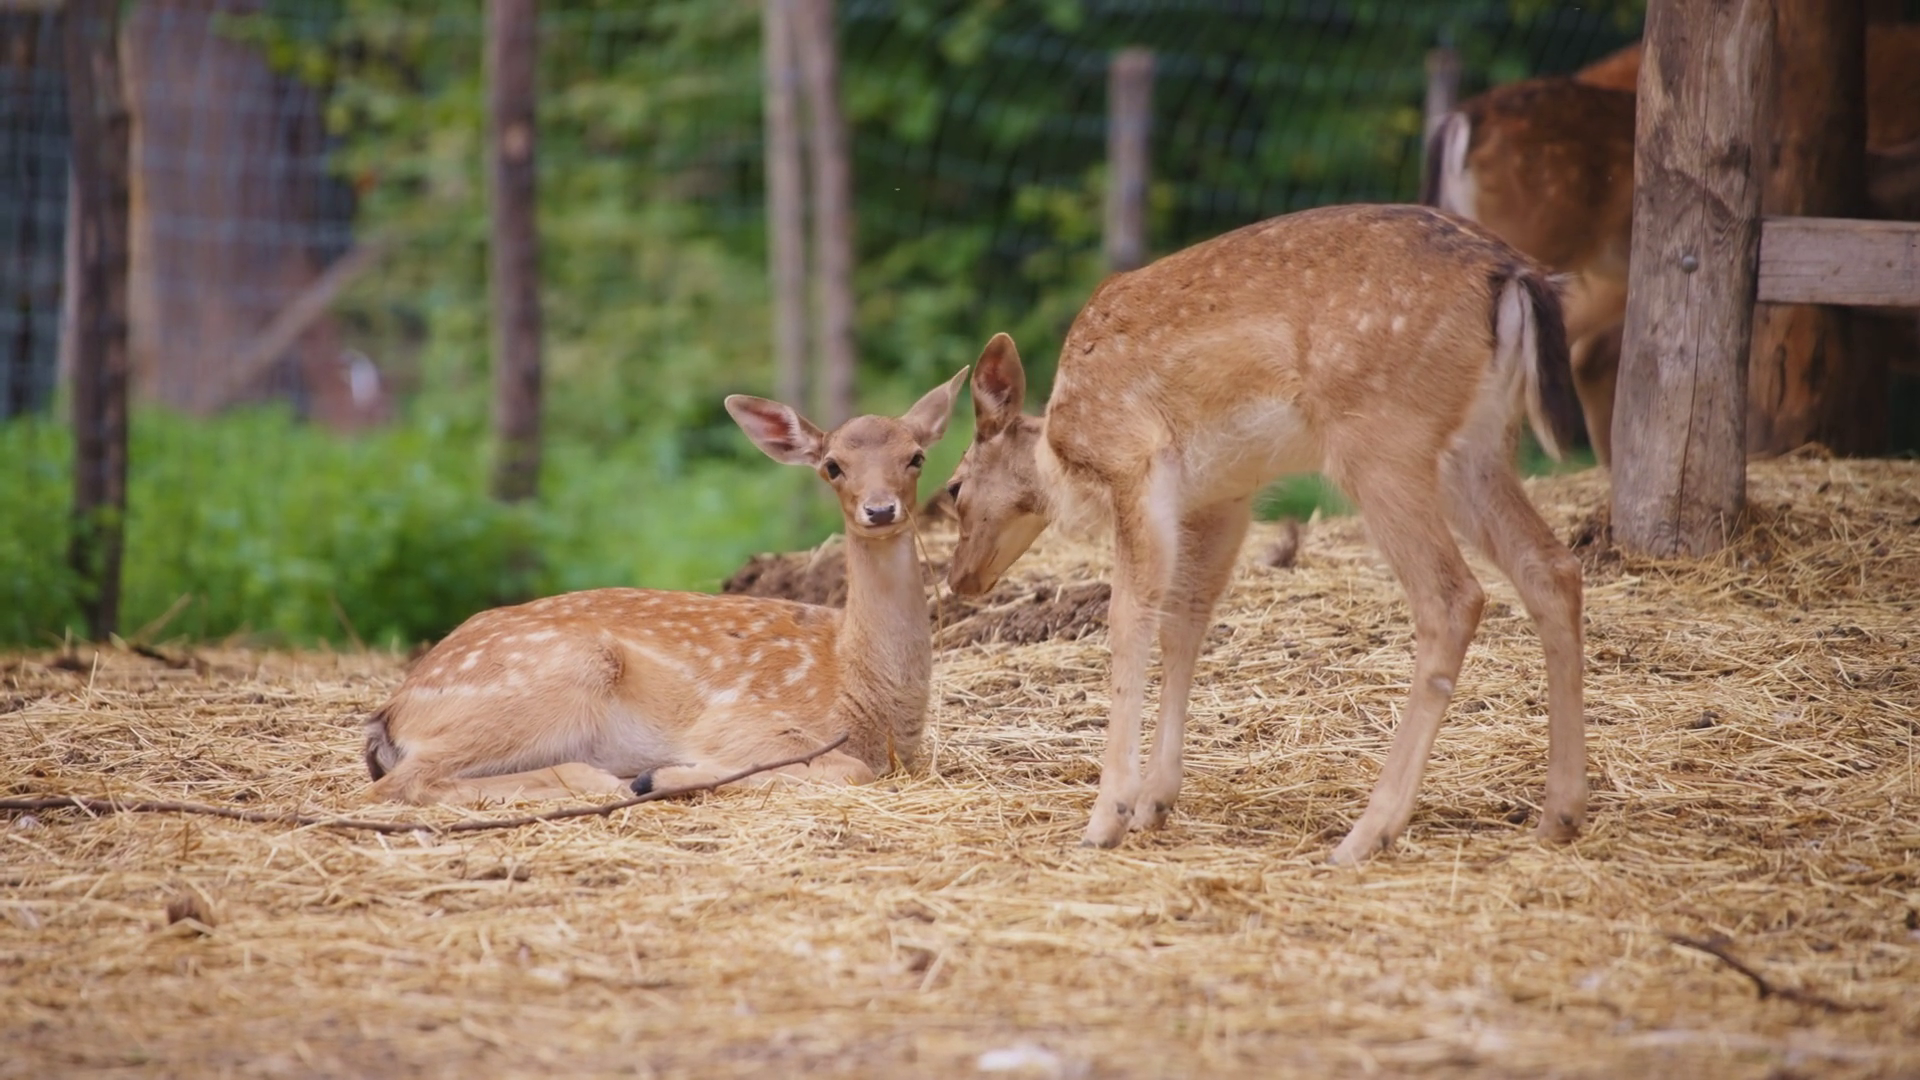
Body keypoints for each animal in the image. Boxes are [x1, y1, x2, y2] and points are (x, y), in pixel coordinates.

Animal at [361, 370, 966, 804]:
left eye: (916, 457)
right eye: (833, 466)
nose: (880, 509)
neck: (864, 696)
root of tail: (390, 714)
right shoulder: (741, 720)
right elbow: (849, 770)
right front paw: (662, 776)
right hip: (550, 677)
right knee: (403, 783)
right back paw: (620, 781)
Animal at [941, 204, 1589, 864]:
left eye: (953, 488)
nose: (958, 578)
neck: (1061, 455)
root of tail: (1514, 275)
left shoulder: (1135, 462)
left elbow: (1129, 617)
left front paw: (1108, 817)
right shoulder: (1223, 497)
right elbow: (1185, 623)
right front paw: (1154, 802)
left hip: (1382, 437)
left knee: (1453, 596)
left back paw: (1368, 833)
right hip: (1476, 447)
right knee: (1552, 566)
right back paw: (1559, 815)